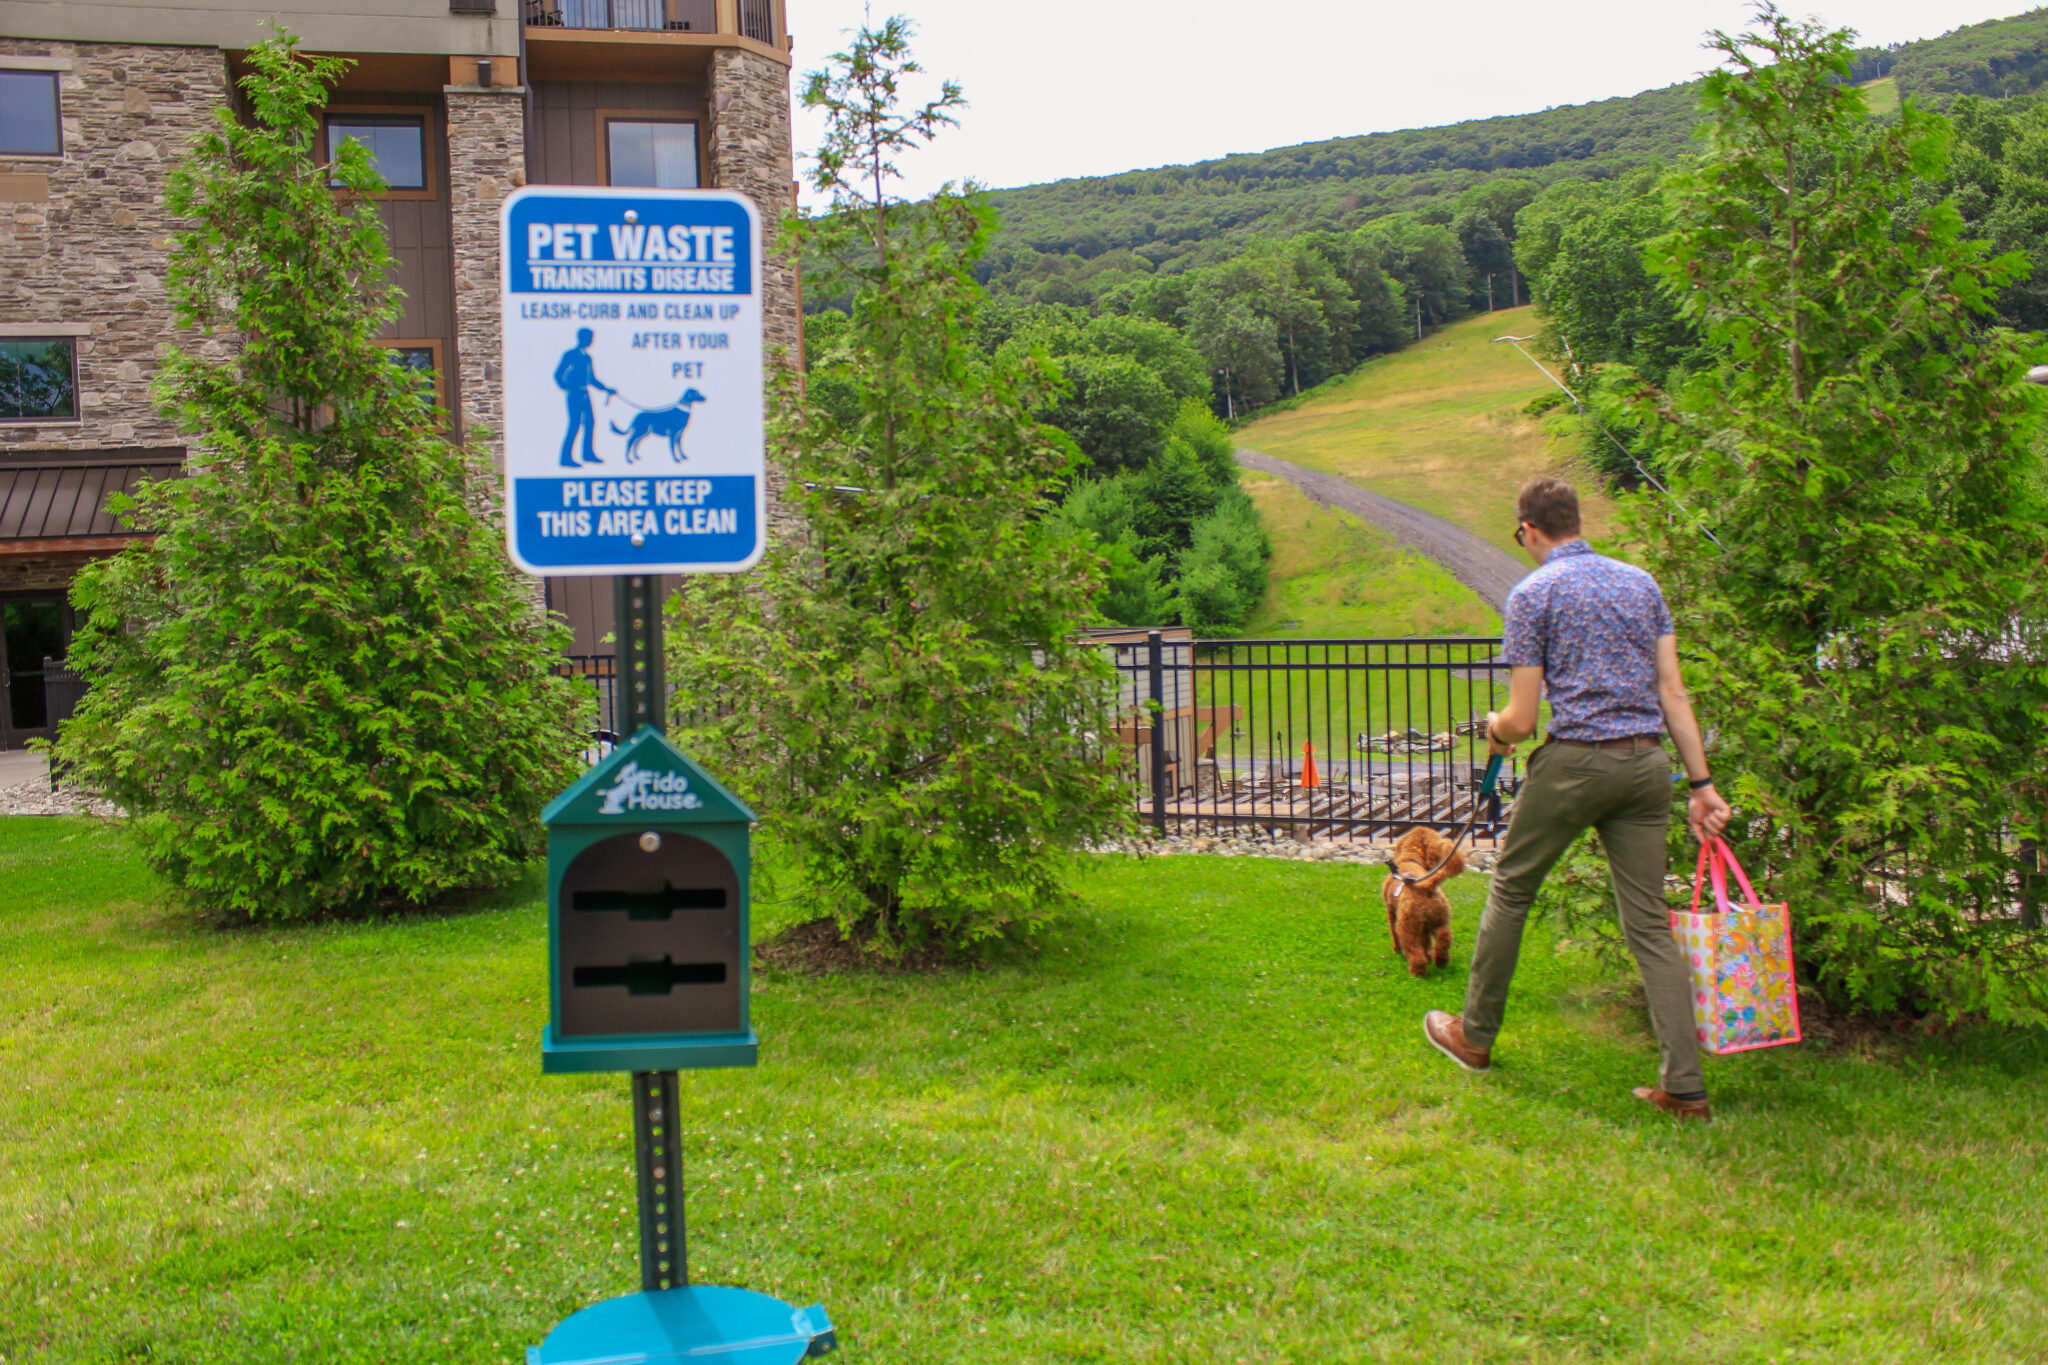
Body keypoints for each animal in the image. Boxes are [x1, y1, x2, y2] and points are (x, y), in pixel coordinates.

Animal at [1384, 826, 1466, 978]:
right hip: (1439, 919)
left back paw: (1417, 972)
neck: (1411, 858)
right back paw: (1440, 961)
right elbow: (1426, 942)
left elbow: (1394, 933)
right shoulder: (1424, 926)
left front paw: (1396, 950)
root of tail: (1427, 886)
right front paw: (1429, 956)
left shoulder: (1391, 912)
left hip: (1407, 926)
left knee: (1414, 951)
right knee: (1443, 938)